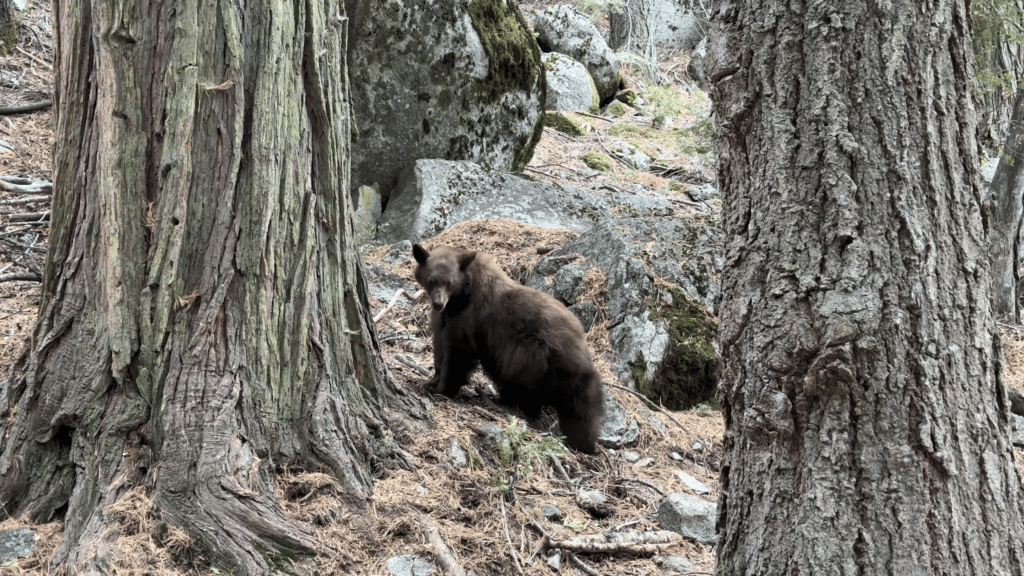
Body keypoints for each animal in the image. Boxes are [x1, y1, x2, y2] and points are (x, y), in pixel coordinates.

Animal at [411, 241, 602, 453]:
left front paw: (442, 388)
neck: (460, 297)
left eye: (449, 283)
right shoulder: (445, 318)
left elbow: (458, 353)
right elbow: (440, 346)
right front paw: (431, 381)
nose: (438, 303)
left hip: (532, 355)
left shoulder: (469, 319)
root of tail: (580, 338)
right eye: (432, 280)